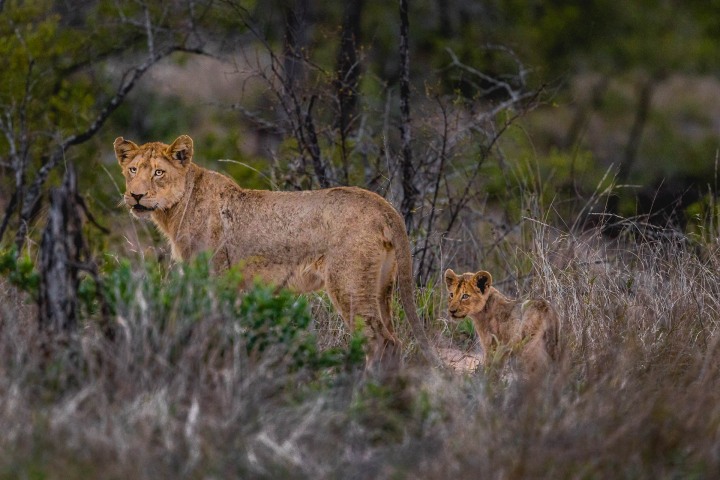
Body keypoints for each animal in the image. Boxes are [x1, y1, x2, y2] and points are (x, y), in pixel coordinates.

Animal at [114, 134, 436, 371]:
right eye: (132, 170)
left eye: (158, 173)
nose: (136, 195)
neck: (175, 210)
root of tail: (385, 206)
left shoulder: (216, 276)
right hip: (382, 287)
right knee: (394, 339)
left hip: (349, 286)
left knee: (378, 340)